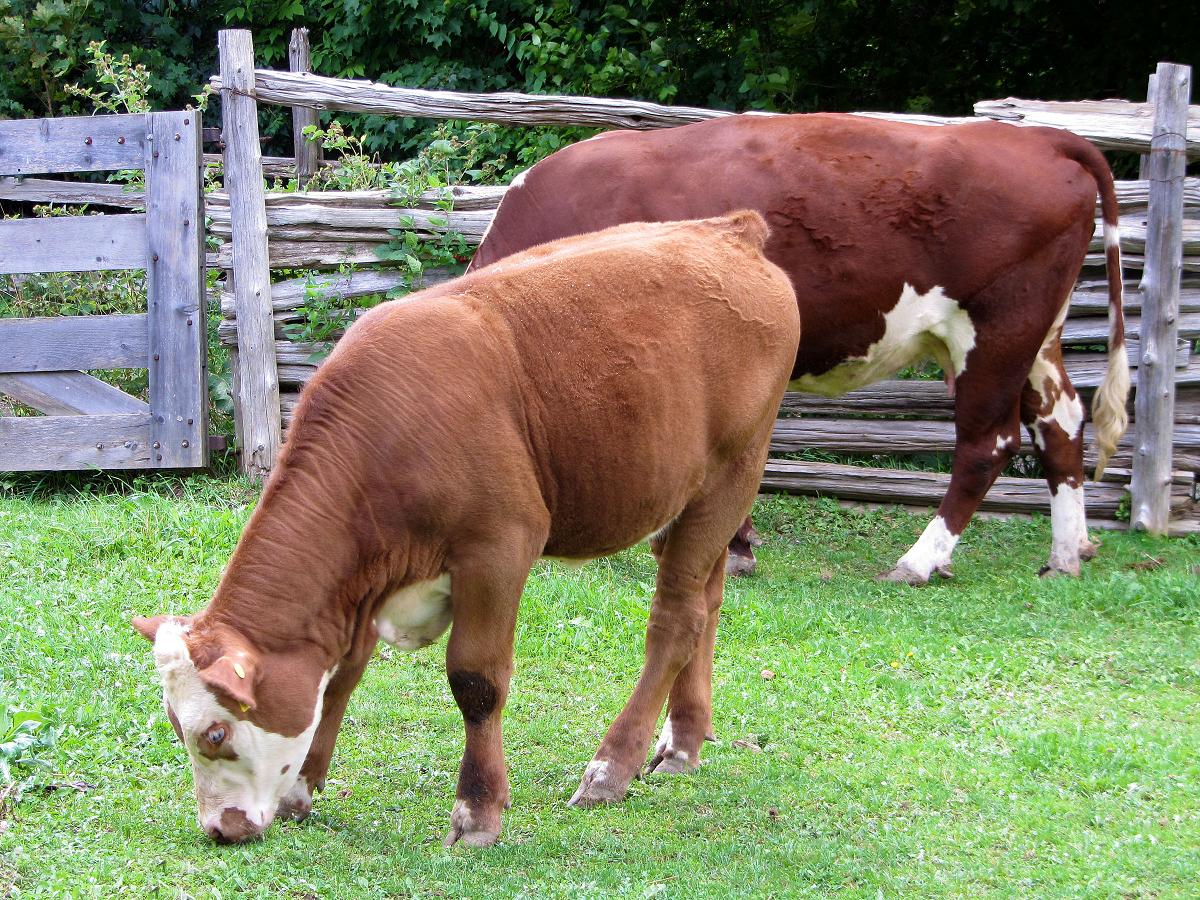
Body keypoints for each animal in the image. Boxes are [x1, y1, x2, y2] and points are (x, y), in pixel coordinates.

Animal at [132, 212, 800, 848]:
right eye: (176, 725)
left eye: (215, 732)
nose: (221, 828)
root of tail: (730, 229)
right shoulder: (366, 579)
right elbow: (343, 673)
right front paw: (303, 788)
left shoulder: (498, 547)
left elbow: (476, 680)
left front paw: (477, 813)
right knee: (706, 602)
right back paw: (682, 742)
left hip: (732, 475)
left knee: (676, 619)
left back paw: (612, 768)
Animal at [468, 114, 1131, 584]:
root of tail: (1042, 139)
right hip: (1037, 337)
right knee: (1061, 421)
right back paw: (1067, 554)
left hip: (995, 330)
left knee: (988, 443)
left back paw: (919, 561)